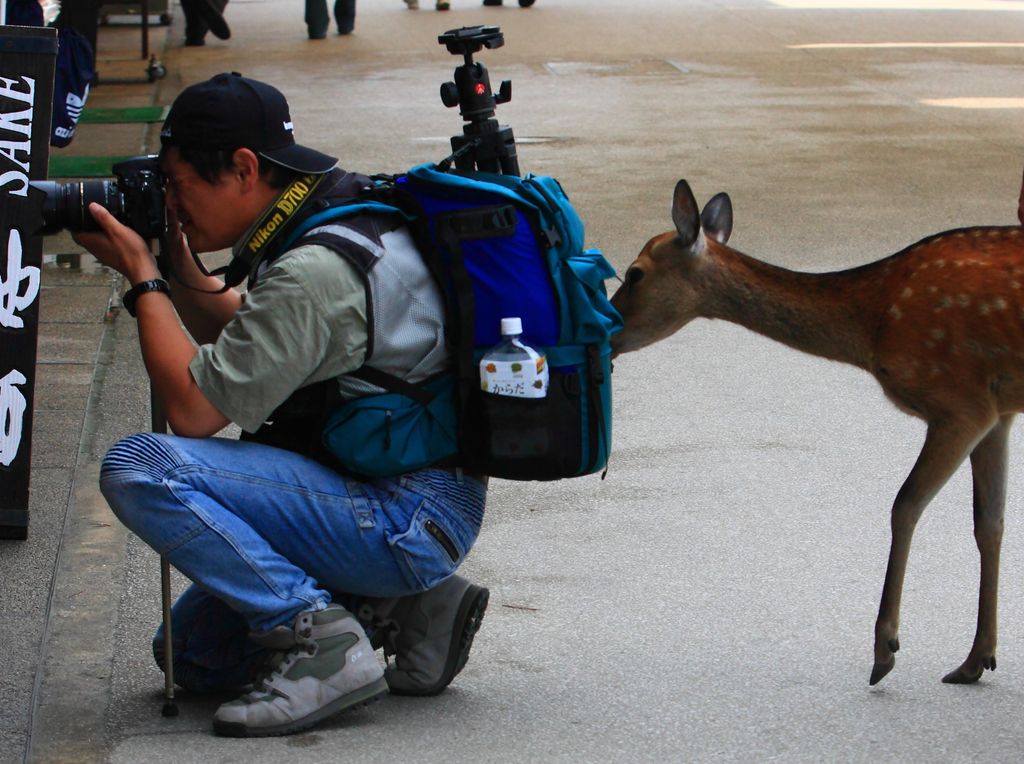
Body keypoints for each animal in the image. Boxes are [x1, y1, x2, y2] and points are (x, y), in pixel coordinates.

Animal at [606, 180, 1024, 684]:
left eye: (635, 273)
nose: (605, 332)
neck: (872, 324)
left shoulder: (961, 403)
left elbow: (904, 506)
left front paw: (885, 650)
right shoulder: (997, 412)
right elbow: (990, 522)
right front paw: (976, 658)